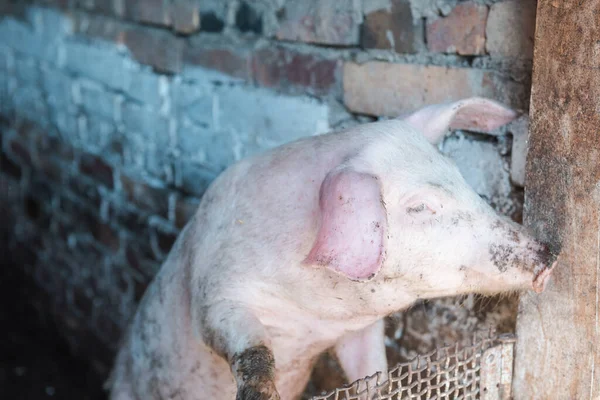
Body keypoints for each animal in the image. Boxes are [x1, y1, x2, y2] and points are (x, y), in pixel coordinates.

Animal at [106, 97, 556, 400]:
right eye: (422, 206)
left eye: (461, 179)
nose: (550, 254)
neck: (314, 317)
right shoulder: (214, 295)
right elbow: (248, 345)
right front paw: (262, 394)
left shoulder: (358, 330)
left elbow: (372, 372)